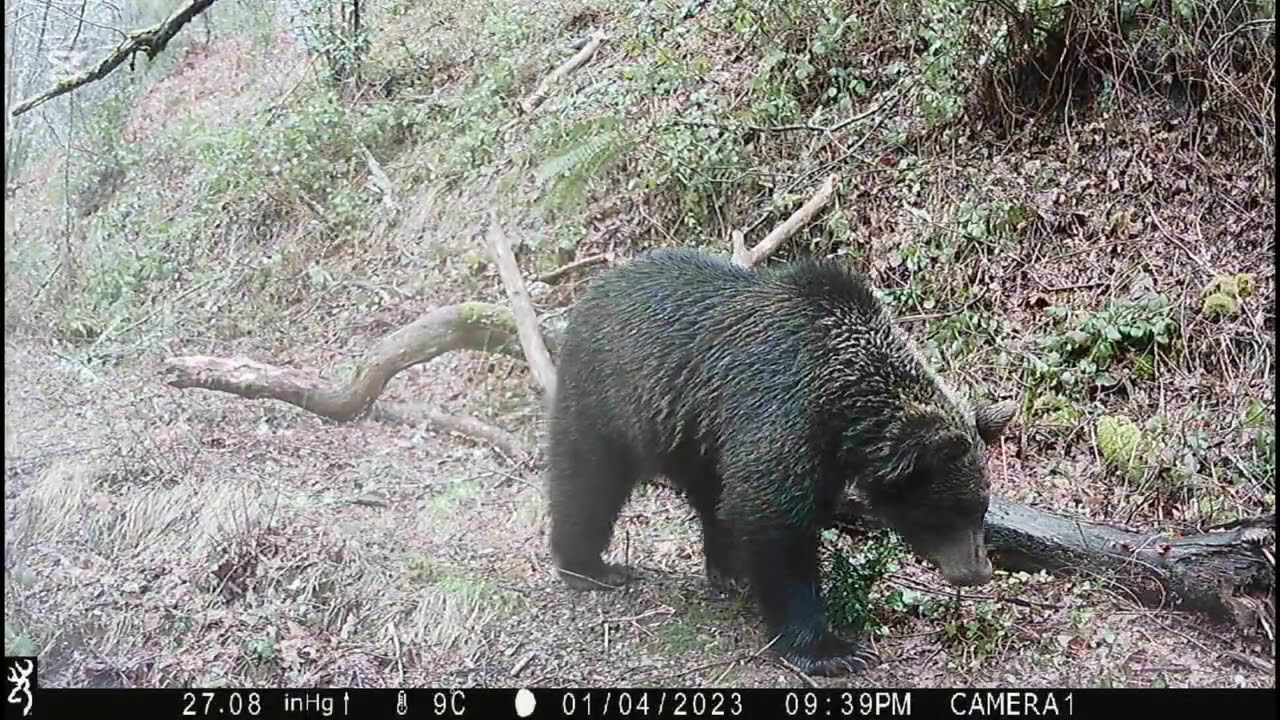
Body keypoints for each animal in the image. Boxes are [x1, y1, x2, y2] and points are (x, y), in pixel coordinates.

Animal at [543, 247, 1016, 677]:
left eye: (982, 508)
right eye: (953, 510)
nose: (979, 570)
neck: (844, 406)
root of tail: (596, 286)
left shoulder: (813, 454)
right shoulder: (782, 413)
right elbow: (775, 525)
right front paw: (829, 649)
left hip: (695, 433)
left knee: (709, 496)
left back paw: (726, 569)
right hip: (611, 399)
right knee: (588, 480)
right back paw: (589, 566)